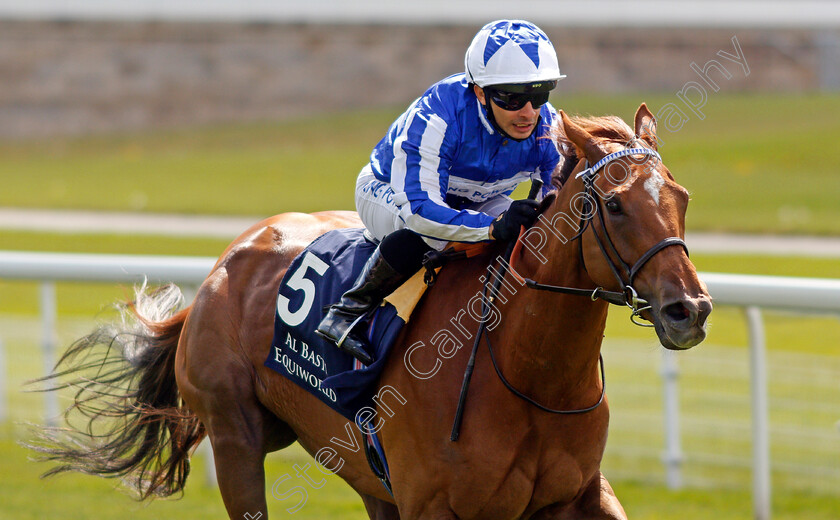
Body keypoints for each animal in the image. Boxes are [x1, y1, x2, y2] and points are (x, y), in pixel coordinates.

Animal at [36, 103, 712, 516]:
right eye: (616, 205)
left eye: (681, 197)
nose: (690, 310)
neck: (526, 375)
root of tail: (225, 261)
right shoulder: (432, 504)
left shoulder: (576, 496)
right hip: (236, 437)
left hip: (363, 474)